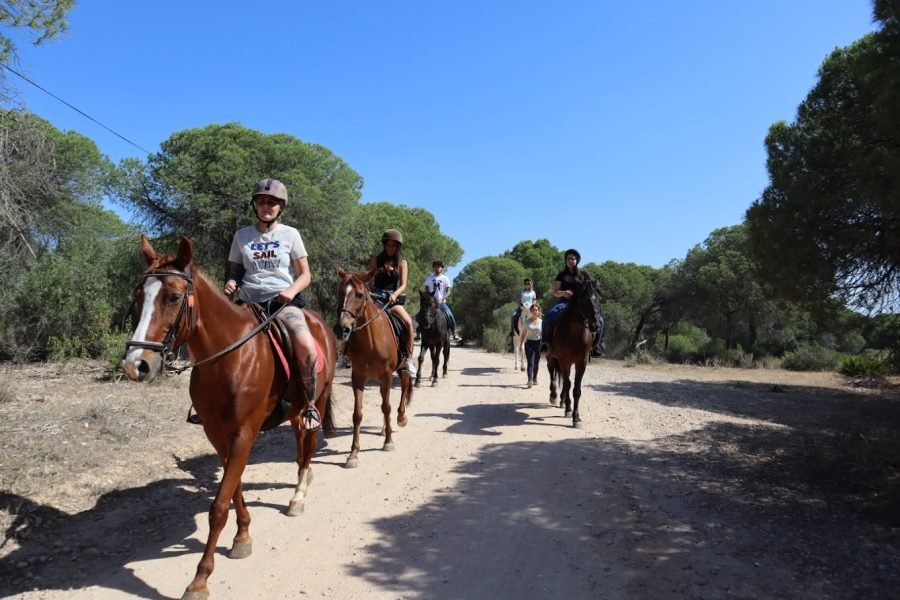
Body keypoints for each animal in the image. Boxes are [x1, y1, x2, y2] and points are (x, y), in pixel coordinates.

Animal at [121, 235, 337, 600]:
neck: (230, 359)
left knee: (308, 446)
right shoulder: (217, 434)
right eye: (139, 296)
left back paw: (298, 496)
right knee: (299, 445)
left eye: (173, 297)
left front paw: (199, 580)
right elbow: (233, 490)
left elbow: (219, 505)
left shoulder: (244, 433)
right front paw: (243, 537)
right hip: (294, 411)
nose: (136, 365)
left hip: (316, 401)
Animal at [335, 267, 413, 468]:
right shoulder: (358, 377)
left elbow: (386, 407)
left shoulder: (386, 375)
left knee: (403, 388)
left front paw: (388, 442)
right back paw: (384, 428)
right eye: (340, 292)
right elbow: (357, 414)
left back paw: (400, 419)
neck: (370, 340)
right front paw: (353, 454)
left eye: (360, 294)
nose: (342, 329)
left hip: (401, 369)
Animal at [545, 280, 603, 428]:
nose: (595, 325)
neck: (575, 334)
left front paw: (576, 418)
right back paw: (554, 397)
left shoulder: (581, 362)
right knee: (553, 374)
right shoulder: (564, 360)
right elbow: (568, 384)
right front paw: (569, 411)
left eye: (599, 299)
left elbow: (576, 389)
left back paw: (562, 401)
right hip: (551, 357)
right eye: (585, 299)